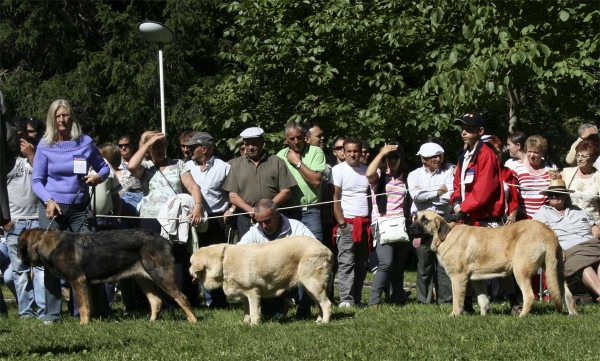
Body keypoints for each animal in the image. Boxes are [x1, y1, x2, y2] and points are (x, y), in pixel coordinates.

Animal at [190, 236, 332, 324]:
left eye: (191, 263)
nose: (188, 269)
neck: (223, 261)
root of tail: (327, 249)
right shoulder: (244, 294)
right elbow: (246, 311)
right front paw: (245, 323)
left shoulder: (253, 291)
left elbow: (253, 311)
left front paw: (254, 324)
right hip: (311, 288)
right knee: (320, 305)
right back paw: (318, 321)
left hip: (312, 284)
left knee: (327, 304)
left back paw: (324, 322)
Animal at [408, 210, 576, 316]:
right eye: (415, 218)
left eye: (425, 220)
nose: (410, 228)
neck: (445, 235)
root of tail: (548, 231)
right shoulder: (478, 280)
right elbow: (483, 301)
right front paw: (484, 316)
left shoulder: (458, 278)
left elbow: (457, 300)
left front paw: (454, 315)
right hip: (555, 270)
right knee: (567, 293)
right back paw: (572, 314)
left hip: (520, 270)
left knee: (529, 296)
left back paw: (521, 316)